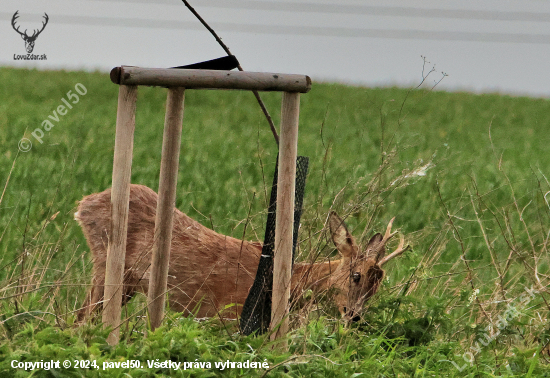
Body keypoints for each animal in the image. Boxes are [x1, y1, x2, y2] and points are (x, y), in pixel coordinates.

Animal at [75, 183, 408, 322]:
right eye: (356, 275)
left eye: (378, 285)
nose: (355, 316)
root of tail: (82, 205)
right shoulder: (227, 314)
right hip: (107, 263)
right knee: (82, 316)